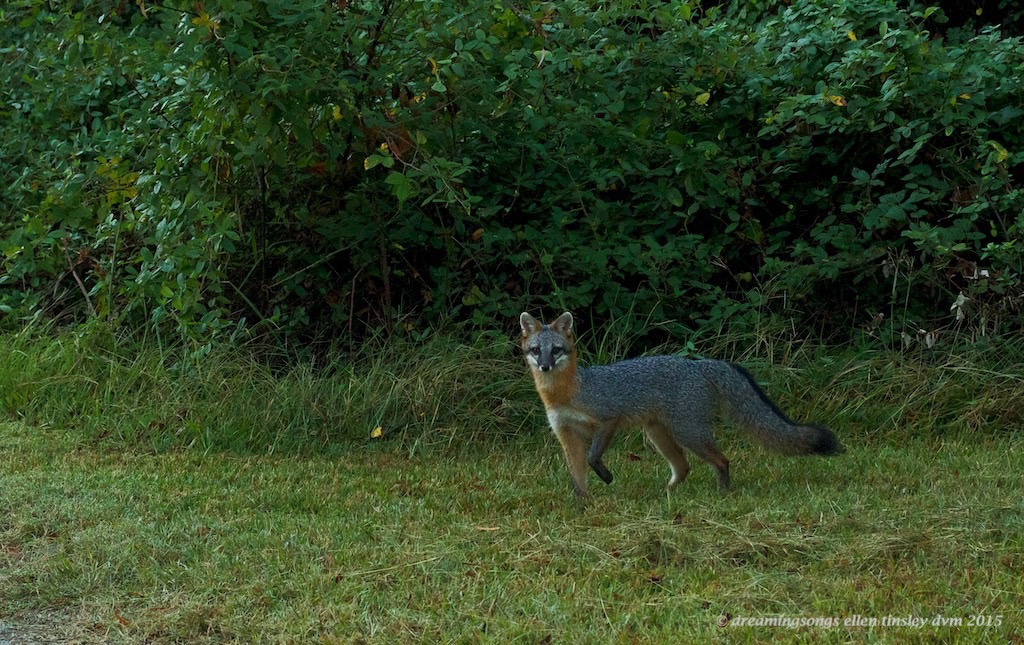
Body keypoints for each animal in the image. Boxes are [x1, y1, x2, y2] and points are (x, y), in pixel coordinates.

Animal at [519, 311, 843, 497]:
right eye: (536, 350)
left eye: (556, 350)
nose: (545, 366)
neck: (567, 392)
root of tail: (701, 364)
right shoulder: (567, 434)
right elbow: (577, 476)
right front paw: (583, 504)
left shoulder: (608, 419)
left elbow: (592, 457)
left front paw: (606, 476)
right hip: (659, 434)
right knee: (684, 467)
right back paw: (667, 494)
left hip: (688, 433)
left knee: (722, 460)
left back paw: (722, 494)